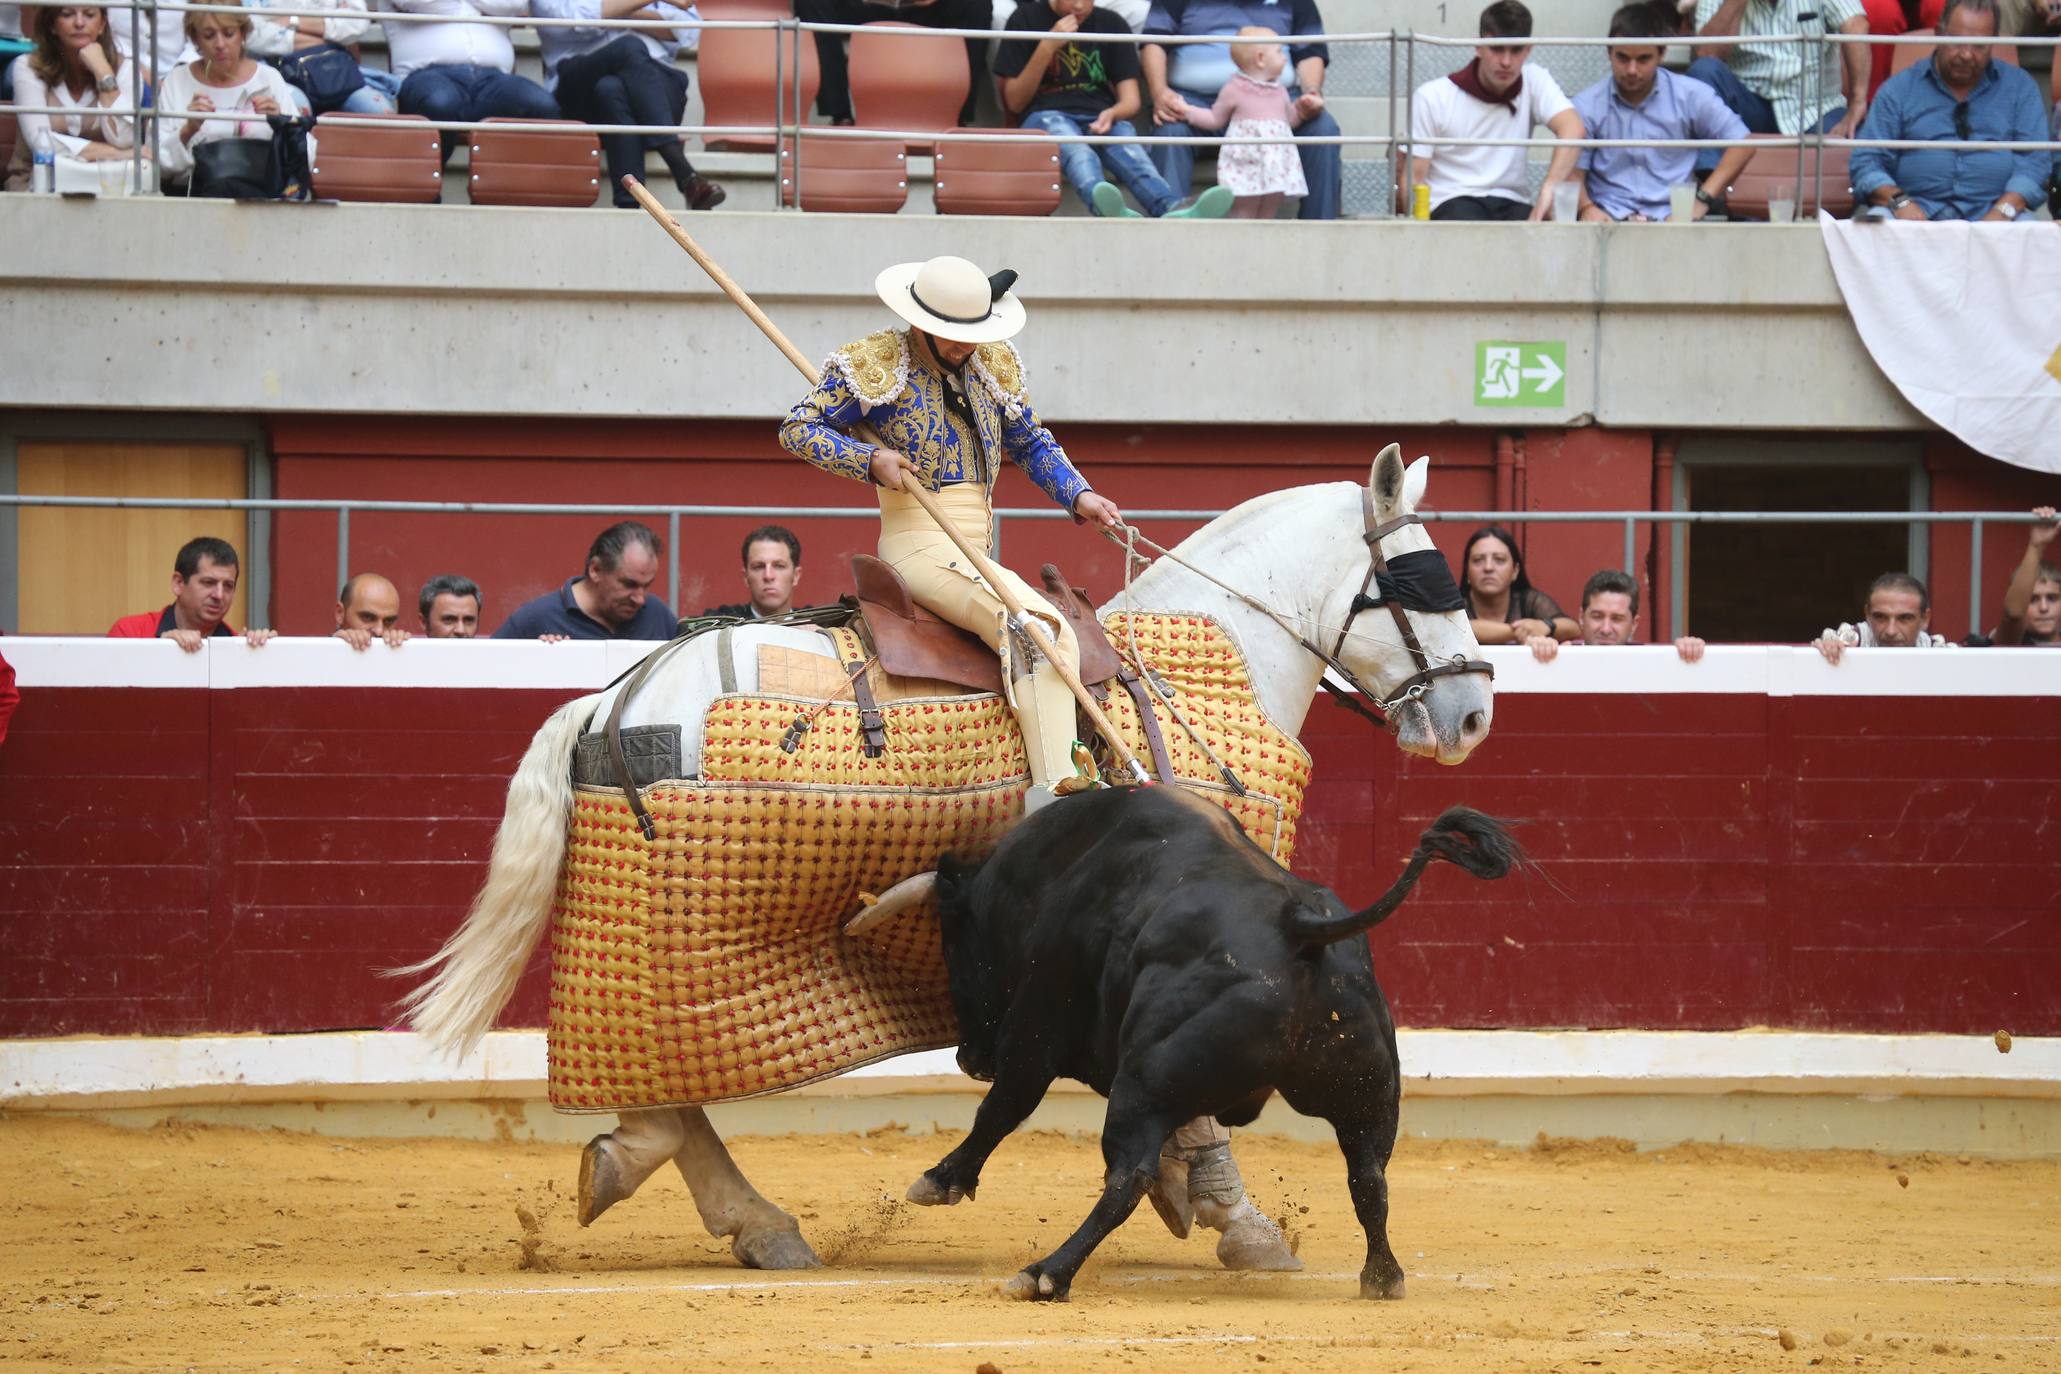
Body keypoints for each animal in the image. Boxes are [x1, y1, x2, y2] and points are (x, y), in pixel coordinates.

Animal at [397, 440, 1500, 1268]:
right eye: (1419, 580)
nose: (1474, 714)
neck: (1206, 664)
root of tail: (612, 696)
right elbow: (1187, 1103)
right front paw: (1238, 1220)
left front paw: (1193, 1196)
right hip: (681, 939)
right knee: (669, 1087)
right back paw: (738, 1210)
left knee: (667, 1091)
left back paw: (713, 1203)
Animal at [910, 782, 1525, 1301]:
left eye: (953, 945)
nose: (970, 1058)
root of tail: (1300, 929)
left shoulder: (1035, 1029)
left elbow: (1000, 1111)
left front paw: (940, 1181)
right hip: (1367, 1092)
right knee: (1369, 1175)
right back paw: (1382, 1276)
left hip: (1142, 1086)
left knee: (1125, 1176)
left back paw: (1046, 1274)